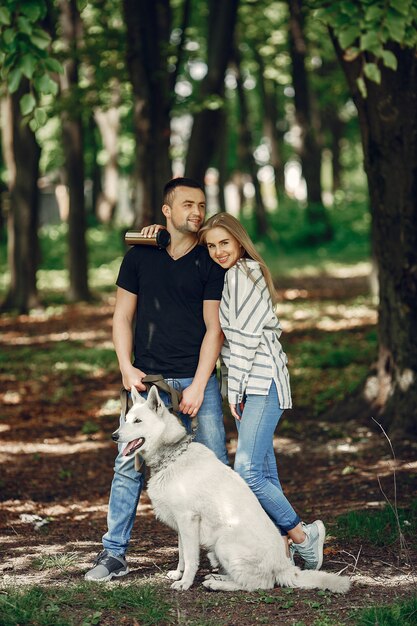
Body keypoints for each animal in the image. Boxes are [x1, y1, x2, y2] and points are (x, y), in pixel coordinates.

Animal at [112, 382, 350, 592]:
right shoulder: (181, 524)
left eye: (138, 421)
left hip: (223, 543)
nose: (114, 436)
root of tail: (284, 567)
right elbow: (181, 554)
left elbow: (190, 557)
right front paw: (179, 574)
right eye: (126, 420)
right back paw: (217, 577)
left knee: (258, 585)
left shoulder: (188, 520)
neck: (173, 455)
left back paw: (217, 584)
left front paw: (185, 583)